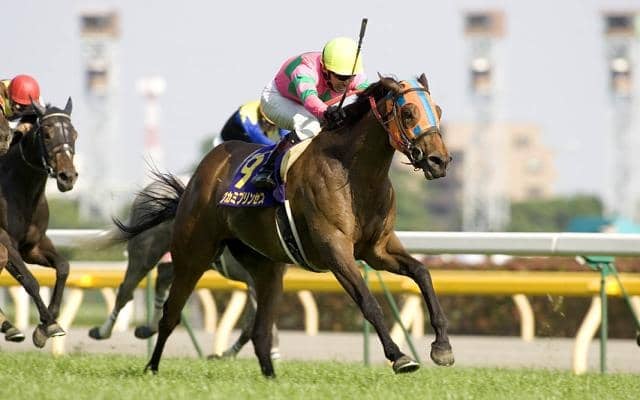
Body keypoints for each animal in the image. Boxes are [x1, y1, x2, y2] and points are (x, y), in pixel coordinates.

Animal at [0, 98, 78, 347]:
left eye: (74, 134)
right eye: (46, 134)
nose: (67, 177)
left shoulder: (33, 246)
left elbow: (63, 267)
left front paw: (47, 324)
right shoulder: (6, 240)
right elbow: (30, 280)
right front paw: (50, 324)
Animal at [88, 179, 280, 359]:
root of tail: (150, 189)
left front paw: (230, 354)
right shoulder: (254, 281)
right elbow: (253, 324)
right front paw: (229, 354)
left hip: (183, 261)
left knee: (162, 277)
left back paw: (148, 328)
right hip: (144, 254)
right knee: (125, 291)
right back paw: (102, 332)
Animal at [117, 74, 454, 377]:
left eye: (438, 111)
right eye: (408, 112)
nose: (439, 161)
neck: (355, 174)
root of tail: (205, 168)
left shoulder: (378, 249)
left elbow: (422, 273)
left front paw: (442, 347)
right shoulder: (334, 248)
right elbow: (367, 302)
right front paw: (399, 357)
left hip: (266, 267)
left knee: (260, 330)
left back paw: (270, 376)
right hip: (194, 252)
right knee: (171, 312)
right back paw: (151, 366)